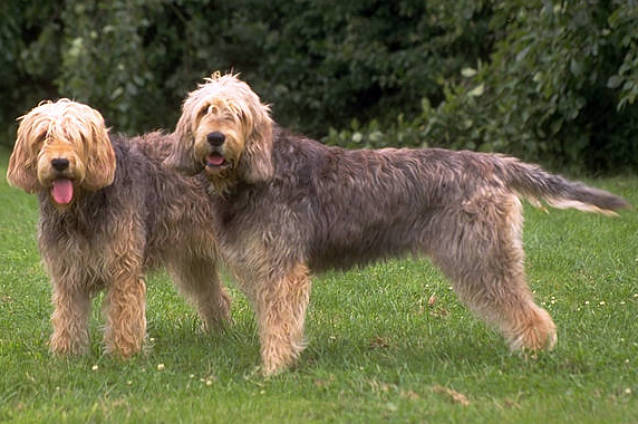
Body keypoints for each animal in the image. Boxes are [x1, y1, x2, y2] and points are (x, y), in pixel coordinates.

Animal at [6, 100, 231, 358]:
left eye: (77, 136)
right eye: (44, 135)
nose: (60, 163)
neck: (81, 207)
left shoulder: (122, 268)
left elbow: (124, 316)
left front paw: (125, 355)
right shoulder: (68, 272)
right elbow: (68, 317)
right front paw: (66, 354)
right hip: (193, 260)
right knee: (216, 296)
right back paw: (217, 332)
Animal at [165, 74, 632, 376]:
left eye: (238, 114)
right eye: (206, 110)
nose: (215, 139)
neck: (256, 174)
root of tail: (492, 162)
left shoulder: (283, 271)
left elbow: (279, 322)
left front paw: (273, 369)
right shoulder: (263, 269)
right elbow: (273, 319)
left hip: (480, 257)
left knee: (530, 312)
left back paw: (533, 353)